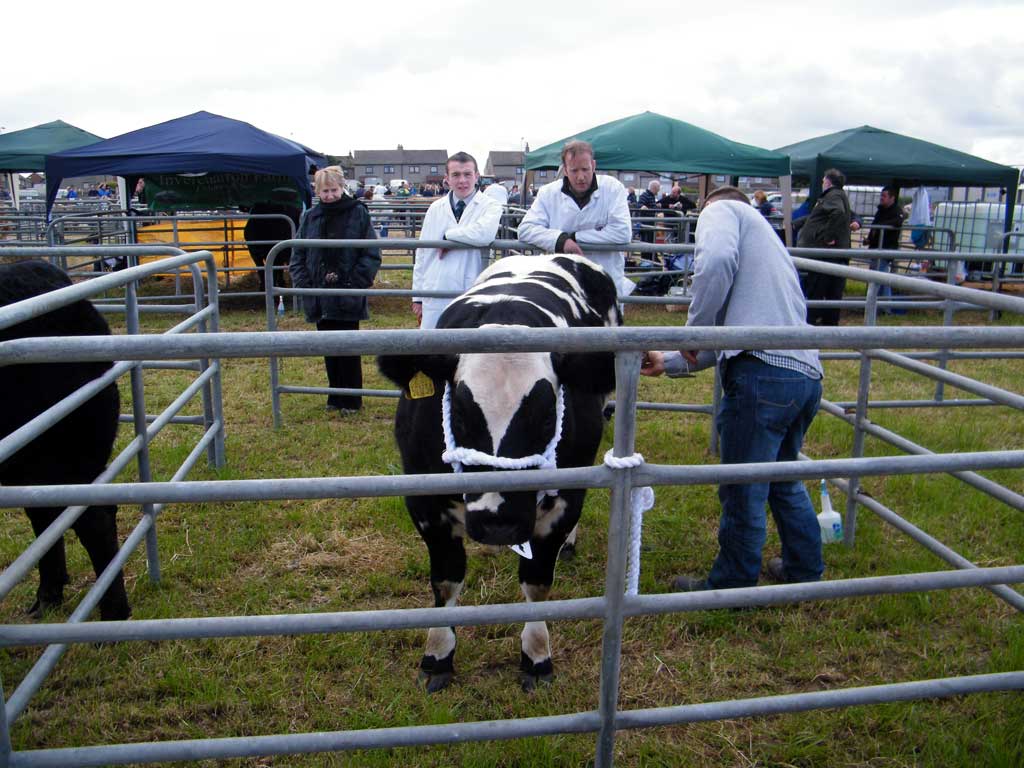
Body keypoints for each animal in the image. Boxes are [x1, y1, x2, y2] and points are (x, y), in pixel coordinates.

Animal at [376, 256, 614, 696]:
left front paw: (536, 657)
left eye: (546, 416)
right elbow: (446, 580)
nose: (498, 522)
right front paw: (437, 658)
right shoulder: (423, 500)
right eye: (460, 412)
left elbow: (536, 581)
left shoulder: (565, 498)